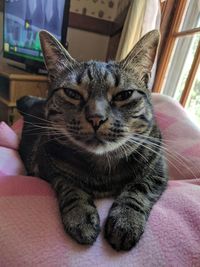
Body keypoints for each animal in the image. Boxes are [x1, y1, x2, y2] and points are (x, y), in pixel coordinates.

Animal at [16, 30, 167, 252]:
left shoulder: (158, 169)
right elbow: (70, 186)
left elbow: (138, 189)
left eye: (124, 95)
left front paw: (125, 220)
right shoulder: (48, 165)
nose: (96, 117)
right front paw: (80, 216)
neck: (103, 166)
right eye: (71, 93)